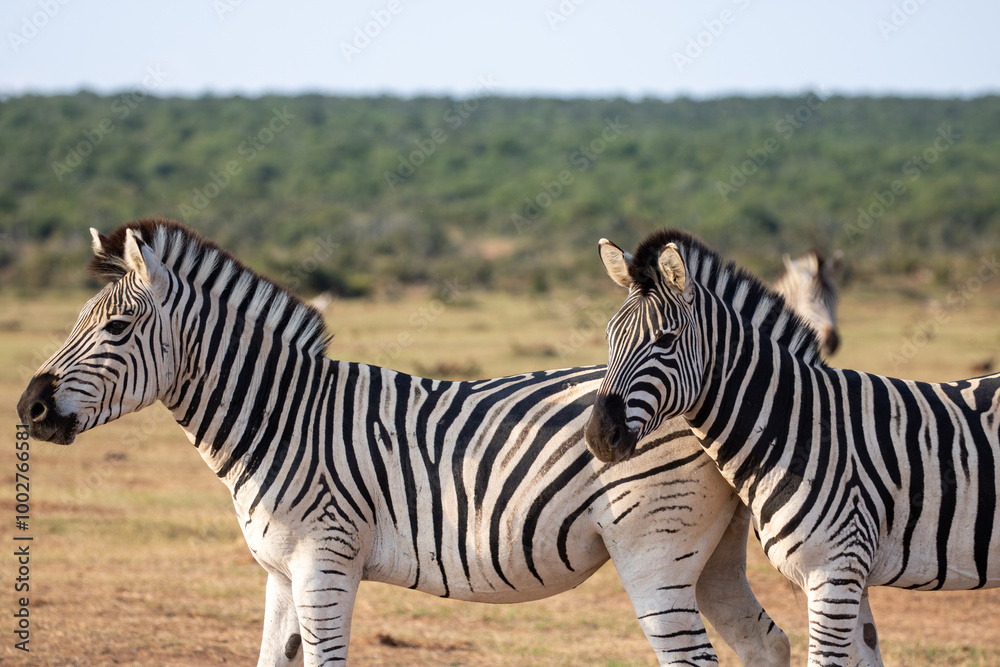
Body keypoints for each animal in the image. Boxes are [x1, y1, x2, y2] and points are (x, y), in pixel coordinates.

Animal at [17, 219, 792, 666]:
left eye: (115, 329)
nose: (29, 406)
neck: (281, 421)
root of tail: (702, 397)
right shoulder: (279, 575)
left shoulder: (324, 563)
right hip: (709, 556)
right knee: (765, 640)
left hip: (651, 552)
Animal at [585, 228, 1000, 666]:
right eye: (610, 337)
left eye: (666, 339)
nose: (598, 435)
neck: (798, 426)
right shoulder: (850, 575)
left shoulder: (834, 574)